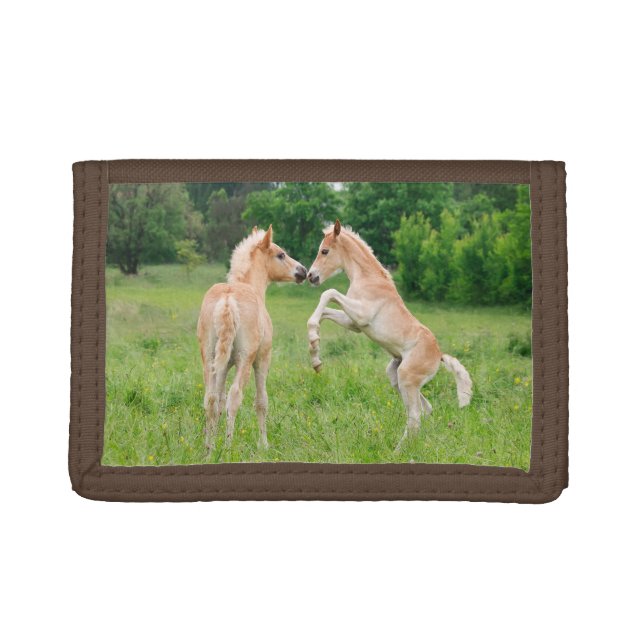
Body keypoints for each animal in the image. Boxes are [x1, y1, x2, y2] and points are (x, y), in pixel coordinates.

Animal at [197, 225, 307, 450]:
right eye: (281, 254)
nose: (303, 271)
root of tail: (228, 299)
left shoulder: (223, 366)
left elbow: (218, 401)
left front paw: (214, 438)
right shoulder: (262, 359)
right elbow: (261, 401)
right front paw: (264, 444)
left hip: (210, 358)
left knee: (211, 399)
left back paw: (209, 449)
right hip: (245, 359)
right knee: (235, 396)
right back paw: (228, 447)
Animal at [306, 219, 472, 451]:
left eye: (325, 251)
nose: (311, 276)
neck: (368, 278)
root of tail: (439, 355)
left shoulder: (361, 314)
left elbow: (328, 293)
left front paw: (314, 343)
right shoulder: (354, 323)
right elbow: (325, 312)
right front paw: (315, 354)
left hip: (407, 378)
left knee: (415, 416)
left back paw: (398, 451)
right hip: (396, 376)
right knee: (426, 409)